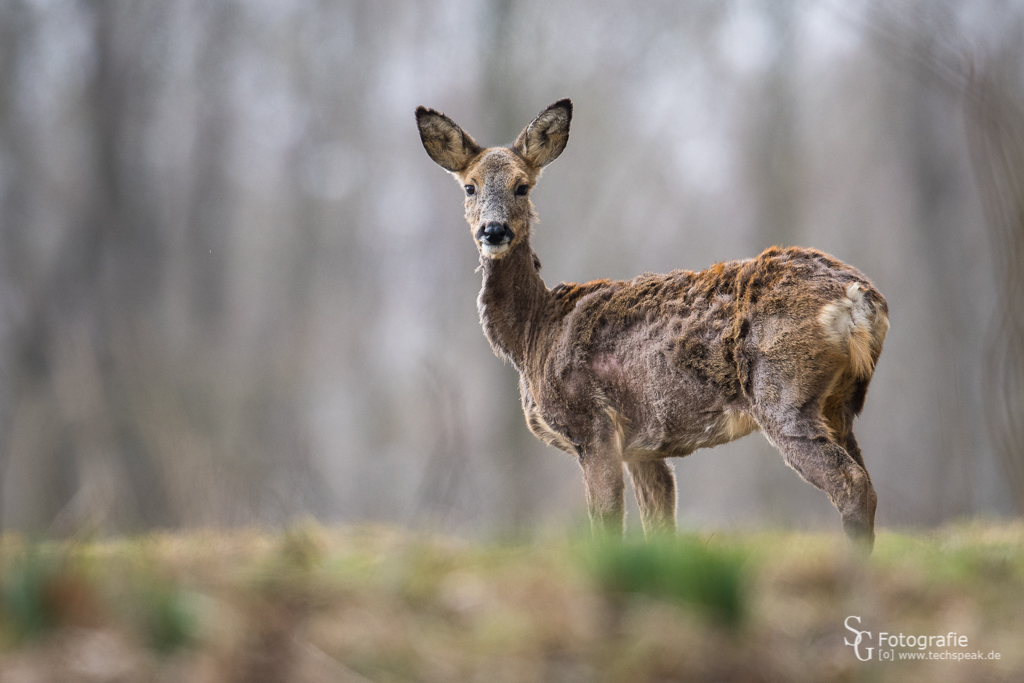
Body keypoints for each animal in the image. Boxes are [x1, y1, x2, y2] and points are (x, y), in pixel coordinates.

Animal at [415, 98, 888, 552]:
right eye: (470, 186)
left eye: (522, 186)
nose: (493, 231)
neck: (534, 335)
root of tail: (857, 297)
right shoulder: (642, 446)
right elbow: (660, 527)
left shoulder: (593, 425)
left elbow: (606, 524)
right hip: (842, 403)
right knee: (867, 481)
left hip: (783, 393)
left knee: (851, 485)